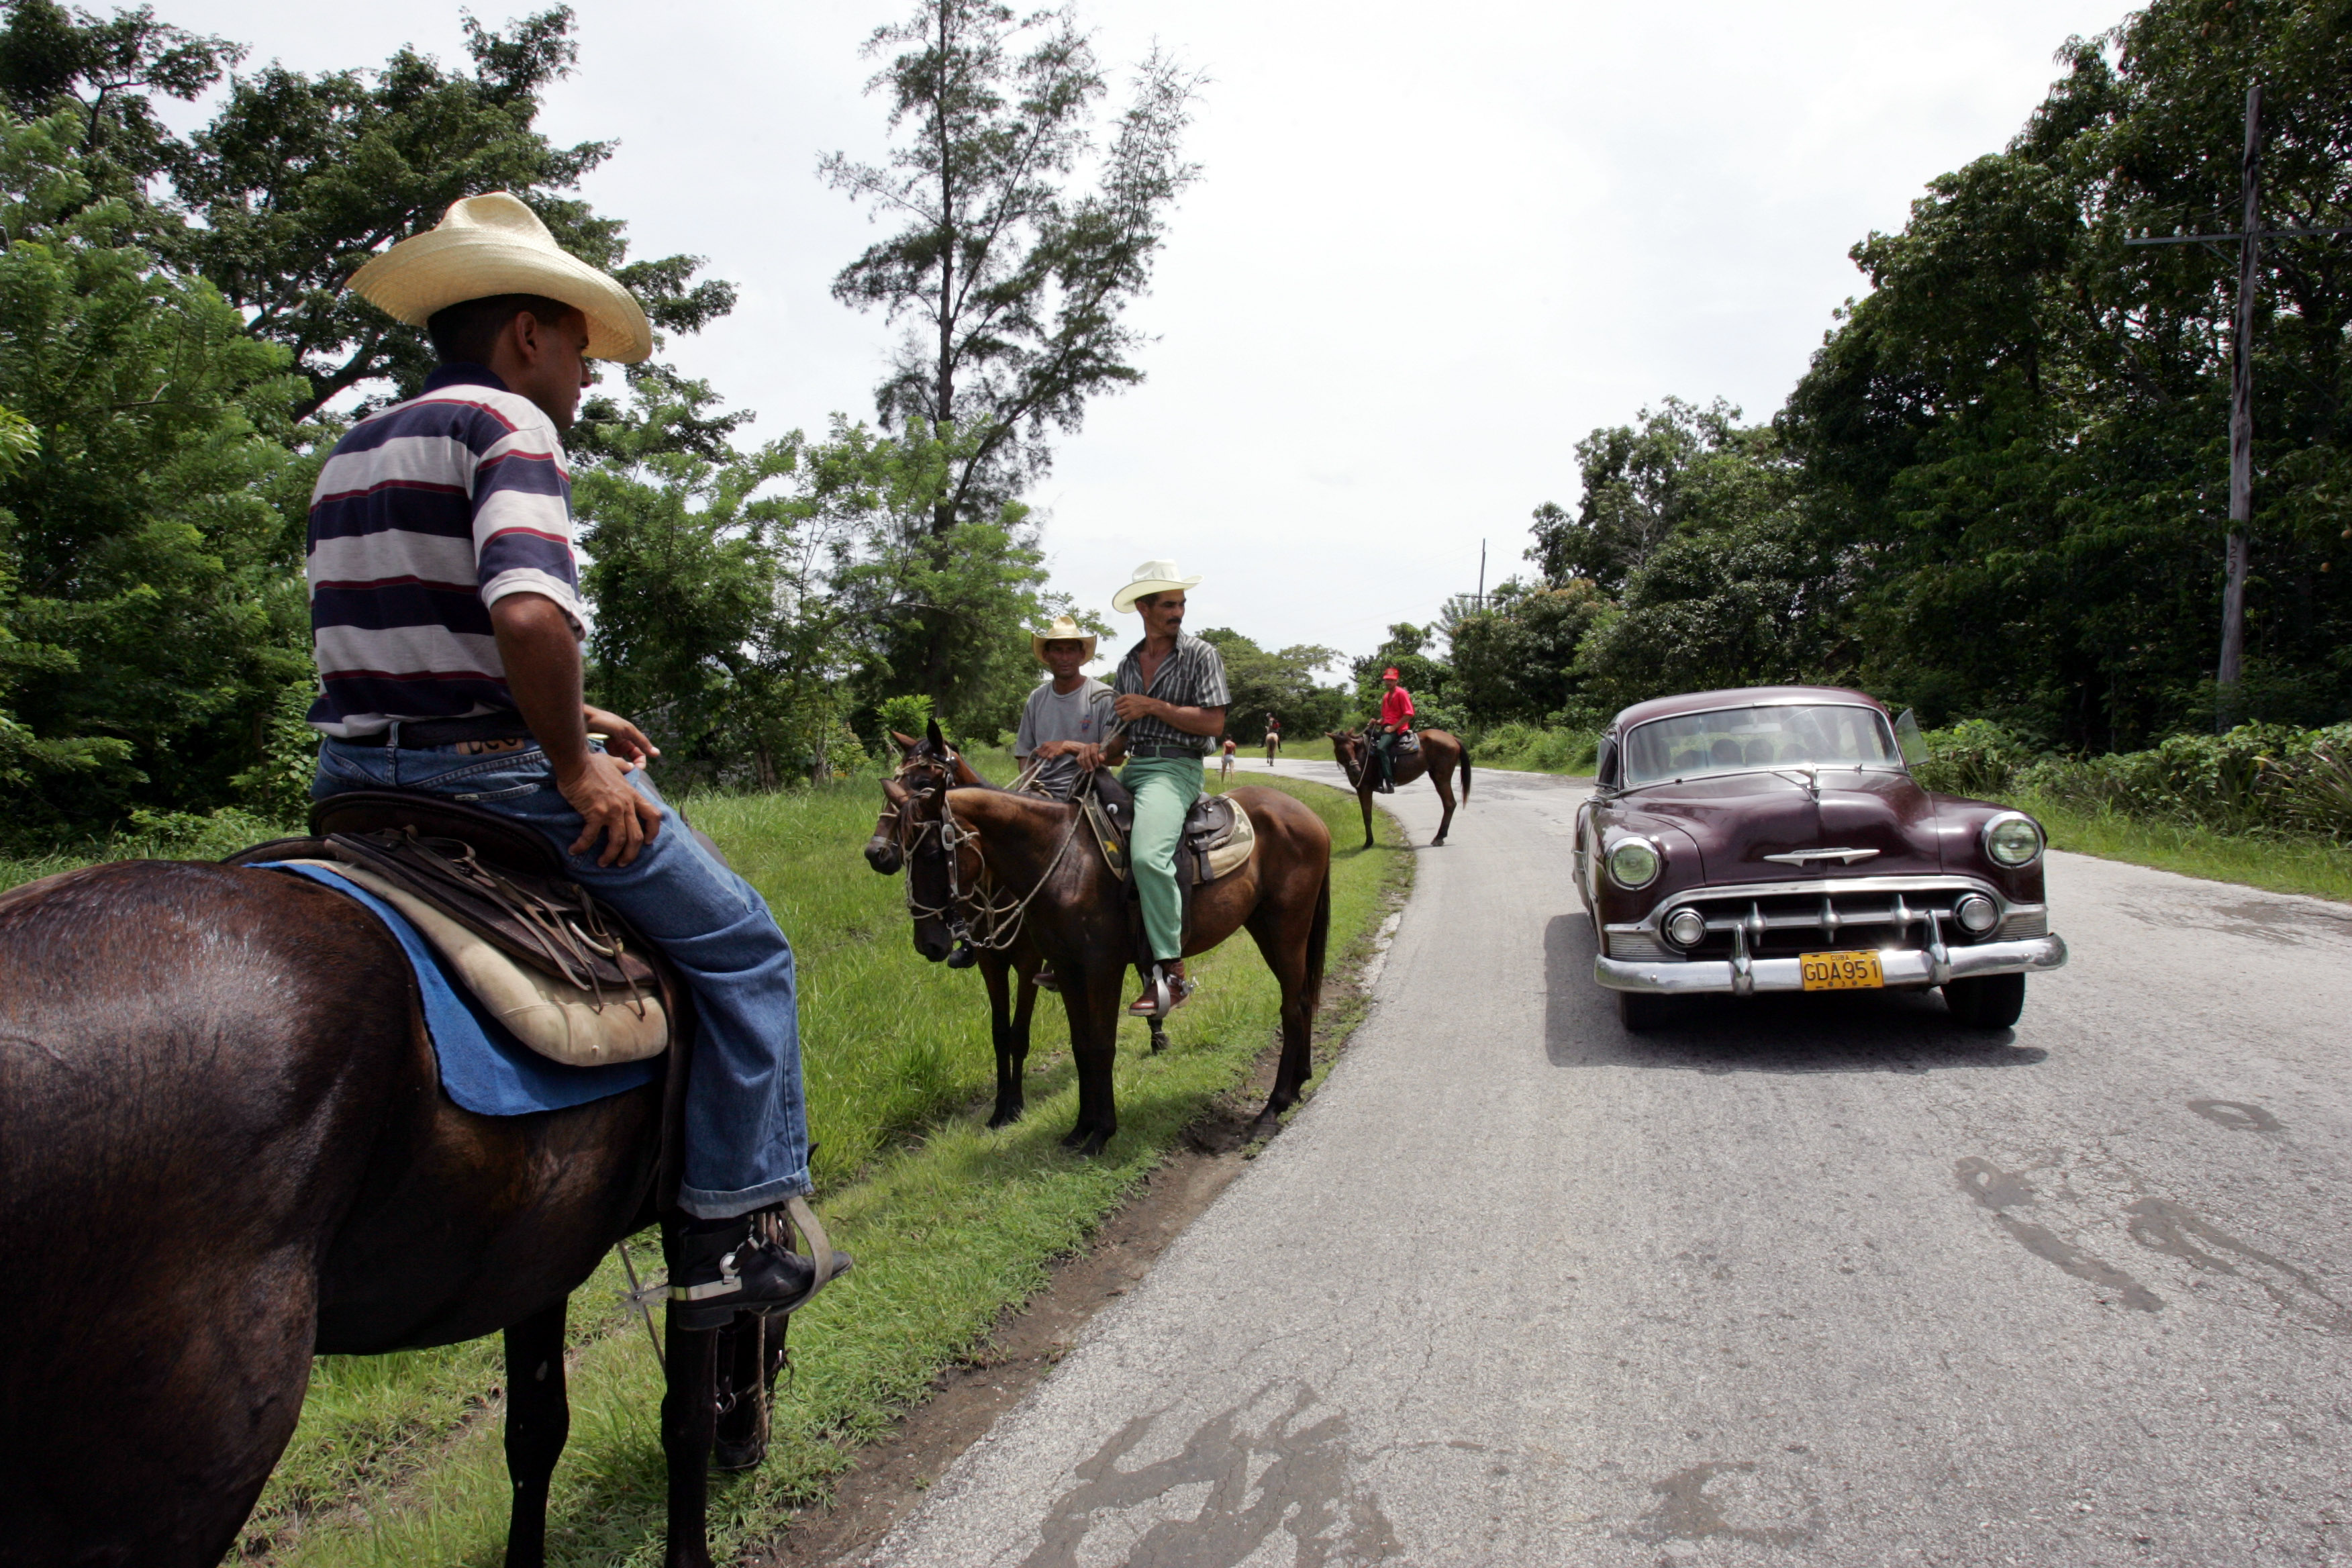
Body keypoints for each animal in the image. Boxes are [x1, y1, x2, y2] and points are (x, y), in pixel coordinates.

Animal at [0, 860, 790, 1568]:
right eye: (773, 1318)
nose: (749, 1445)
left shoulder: (539, 1253)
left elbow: (535, 1432)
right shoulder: (687, 1232)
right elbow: (684, 1413)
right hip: (182, 1472)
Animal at [1326, 733, 1467, 850]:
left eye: (1352, 748)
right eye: (1340, 750)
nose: (1356, 772)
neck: (1362, 755)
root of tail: (1452, 738)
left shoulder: (1365, 789)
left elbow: (1367, 816)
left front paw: (1368, 843)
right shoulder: (1360, 789)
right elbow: (1366, 815)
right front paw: (1369, 841)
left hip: (1442, 779)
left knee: (1449, 804)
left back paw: (1439, 838)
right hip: (1436, 778)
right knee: (1449, 804)